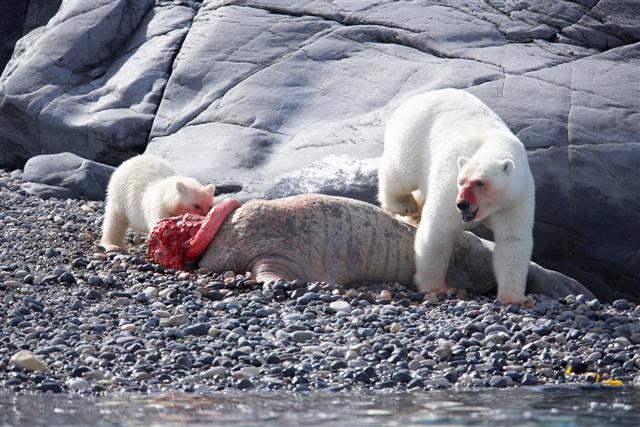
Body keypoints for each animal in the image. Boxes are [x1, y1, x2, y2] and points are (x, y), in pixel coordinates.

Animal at [378, 88, 535, 306]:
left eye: (480, 183)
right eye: (462, 181)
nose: (462, 204)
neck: (494, 143)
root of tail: (416, 98)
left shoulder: (515, 198)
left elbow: (513, 240)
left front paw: (515, 298)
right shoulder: (450, 181)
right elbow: (439, 228)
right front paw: (438, 287)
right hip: (412, 136)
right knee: (400, 173)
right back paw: (404, 205)